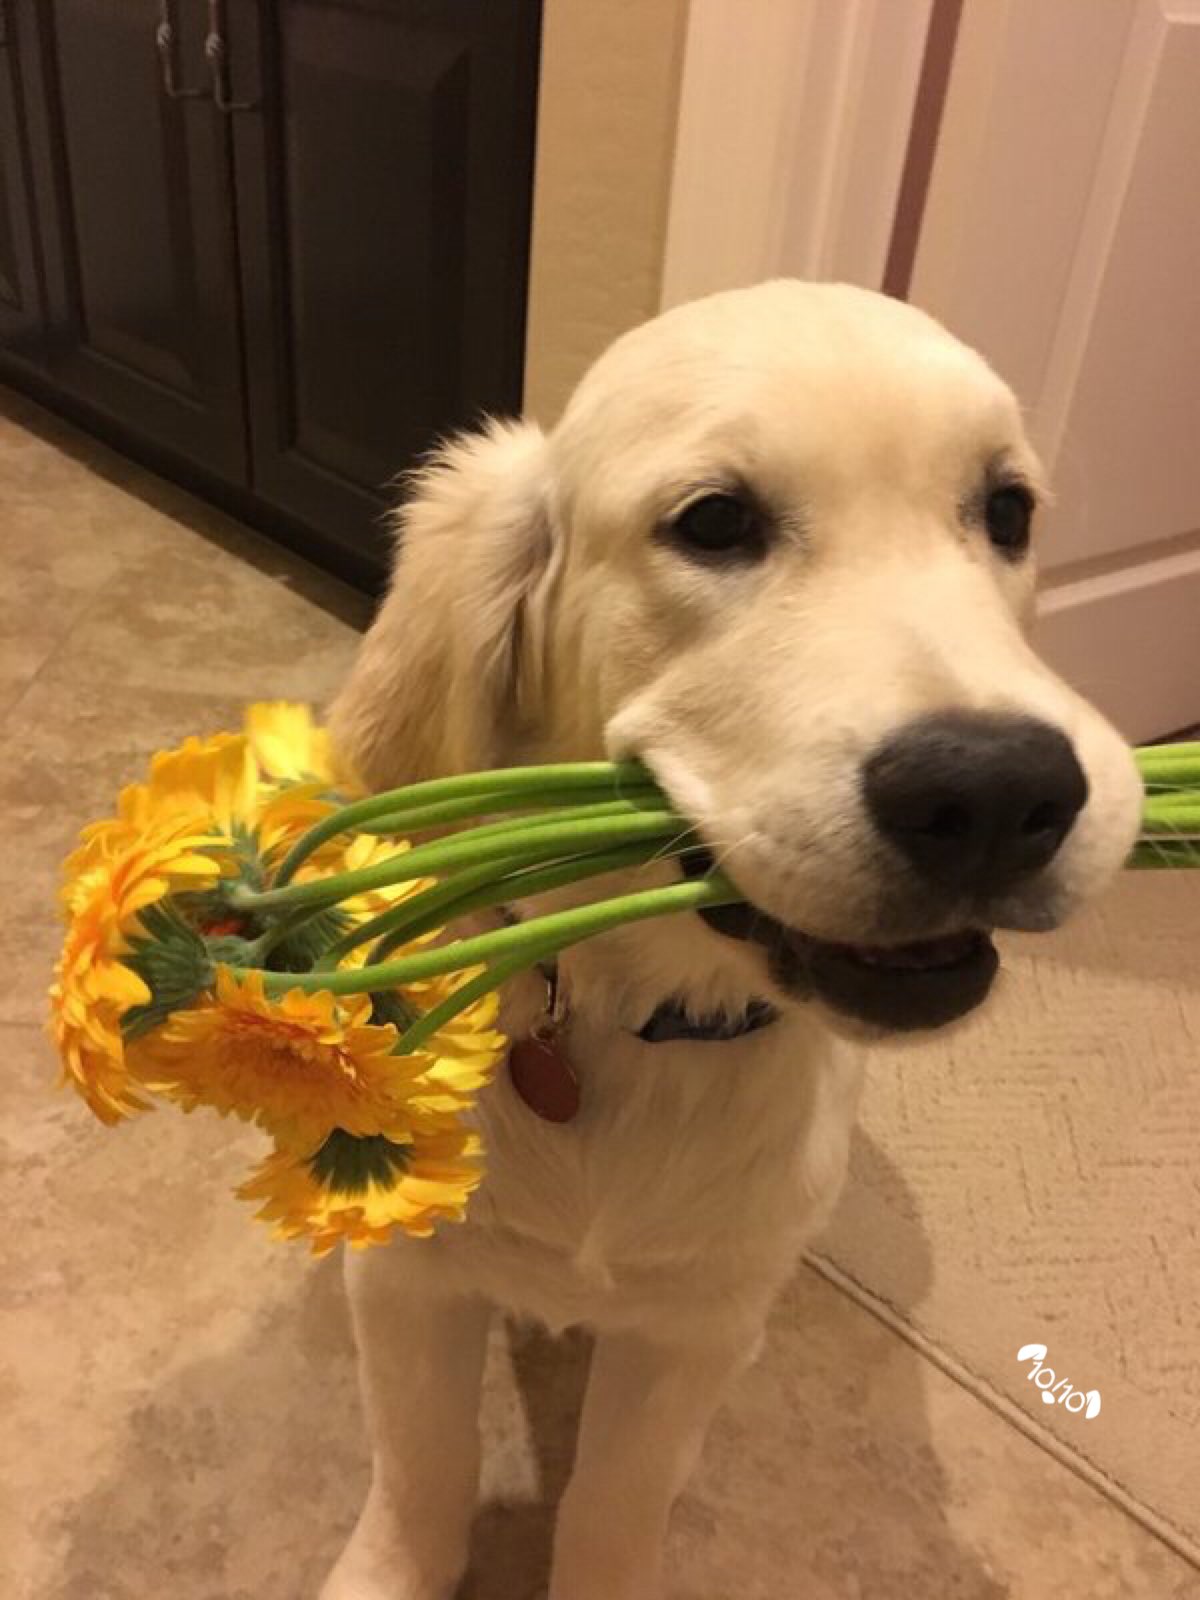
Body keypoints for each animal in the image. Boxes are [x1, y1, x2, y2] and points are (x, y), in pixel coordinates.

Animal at [320, 284, 1145, 1600]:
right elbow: (421, 1470)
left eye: (1007, 510)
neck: (613, 1025)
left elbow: (613, 1505)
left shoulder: (695, 1330)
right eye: (715, 523)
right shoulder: (407, 1282)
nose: (998, 792)